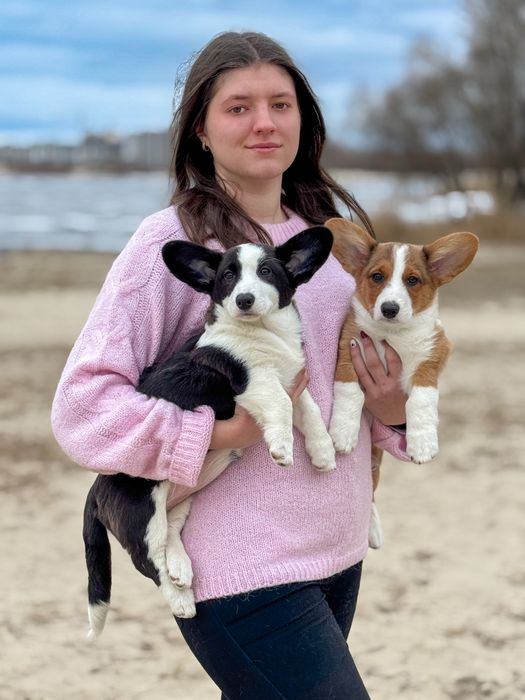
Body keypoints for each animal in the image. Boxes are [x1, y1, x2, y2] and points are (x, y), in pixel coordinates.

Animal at [83, 225, 336, 638]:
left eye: (266, 271)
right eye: (228, 277)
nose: (244, 300)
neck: (262, 332)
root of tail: (96, 488)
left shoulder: (291, 379)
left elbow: (308, 408)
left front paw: (323, 452)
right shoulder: (252, 381)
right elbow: (282, 404)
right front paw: (282, 448)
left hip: (181, 497)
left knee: (170, 535)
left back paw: (181, 567)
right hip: (142, 513)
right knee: (147, 560)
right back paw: (180, 599)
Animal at [325, 217, 479, 548]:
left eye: (412, 280)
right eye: (377, 276)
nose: (390, 309)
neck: (392, 336)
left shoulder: (432, 358)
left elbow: (421, 400)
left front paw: (422, 443)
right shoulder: (348, 351)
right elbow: (350, 393)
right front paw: (342, 432)